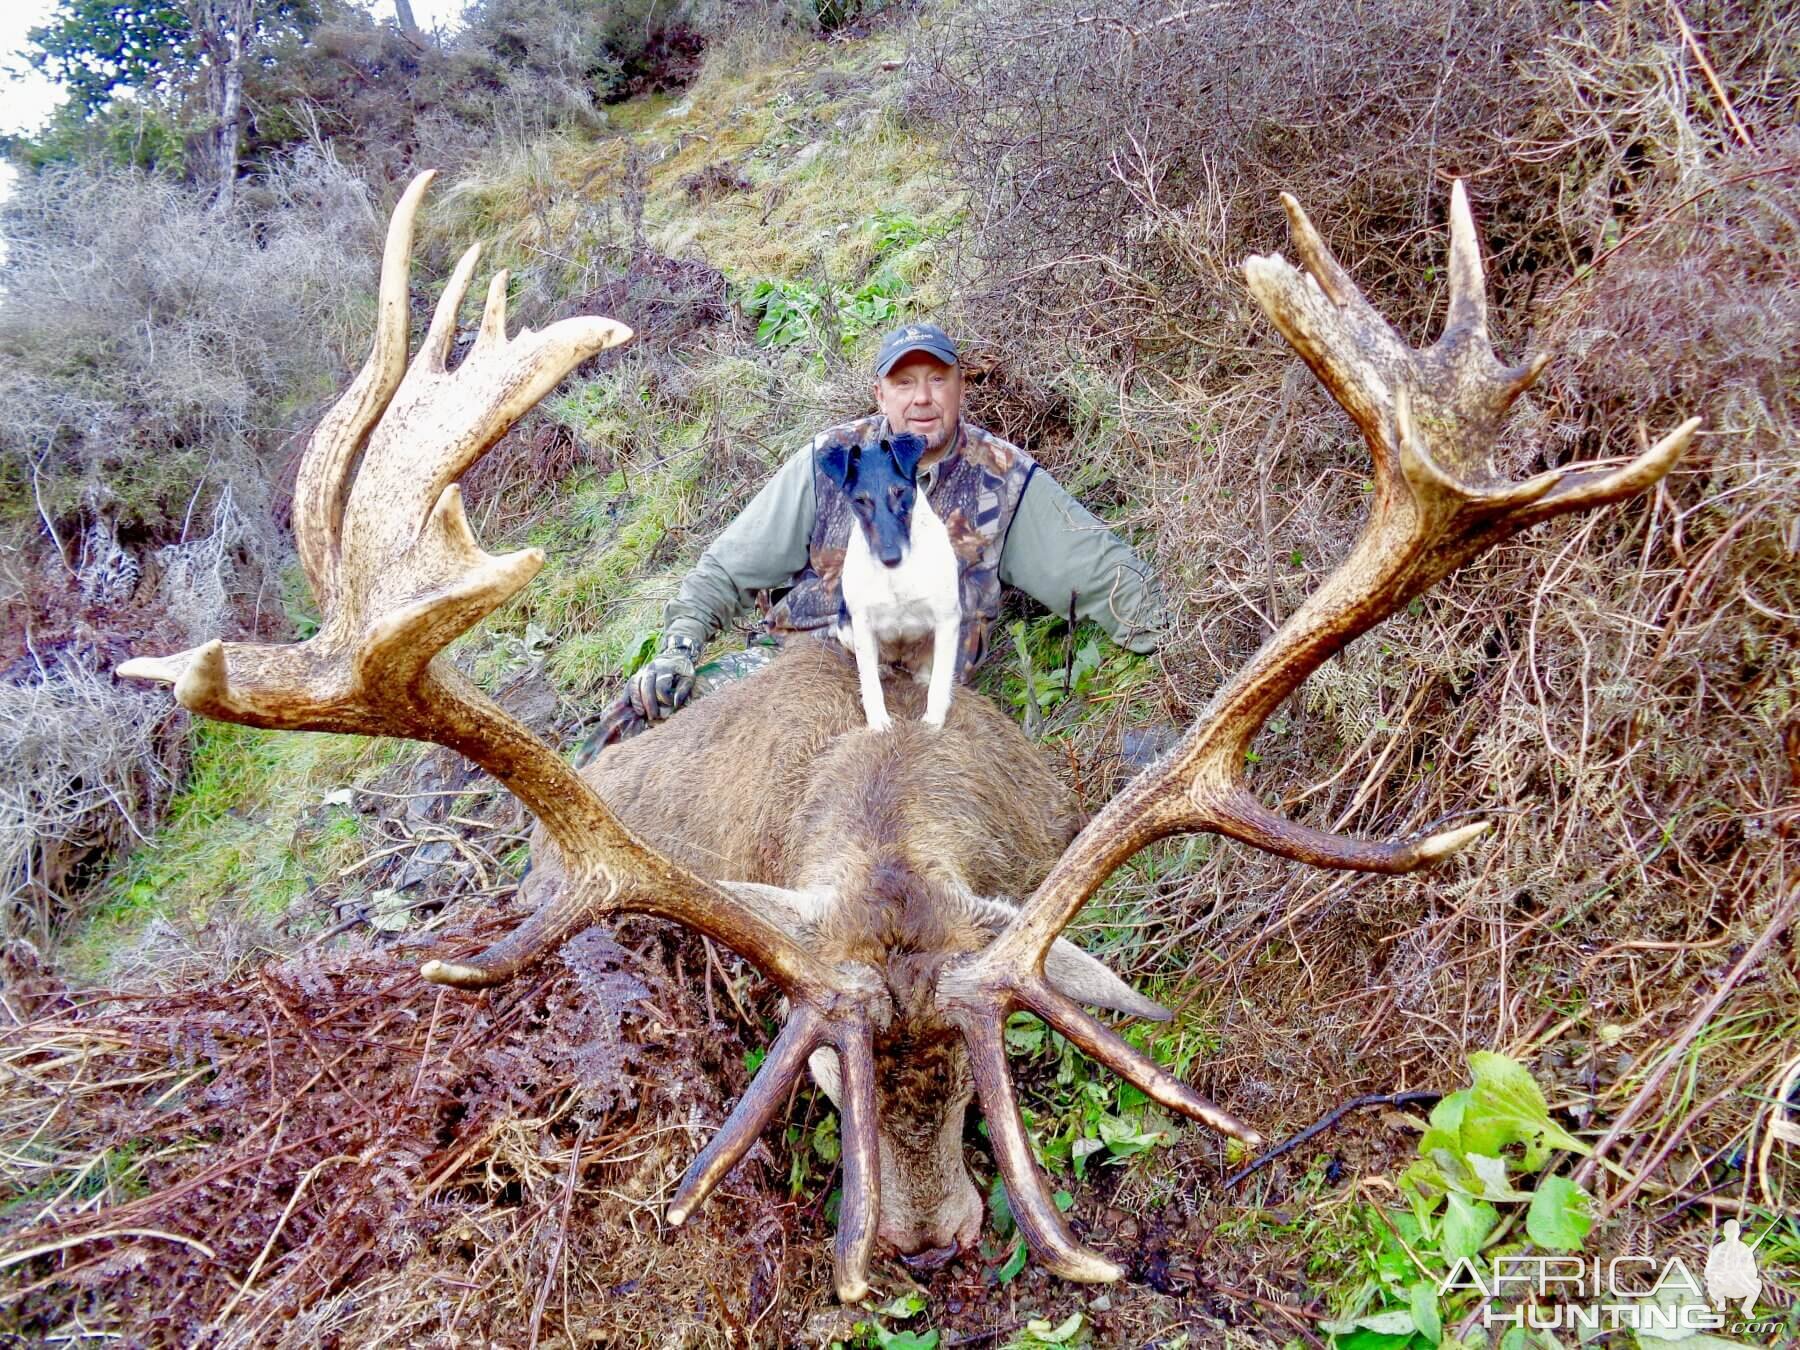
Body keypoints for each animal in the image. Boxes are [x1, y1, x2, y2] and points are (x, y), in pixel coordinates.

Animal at [820, 433, 964, 730]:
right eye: (860, 500)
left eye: (900, 492)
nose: (890, 558)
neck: (895, 577)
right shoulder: (862, 623)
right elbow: (870, 685)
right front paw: (879, 724)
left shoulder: (948, 618)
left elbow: (940, 681)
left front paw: (933, 722)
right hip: (845, 625)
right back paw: (882, 668)